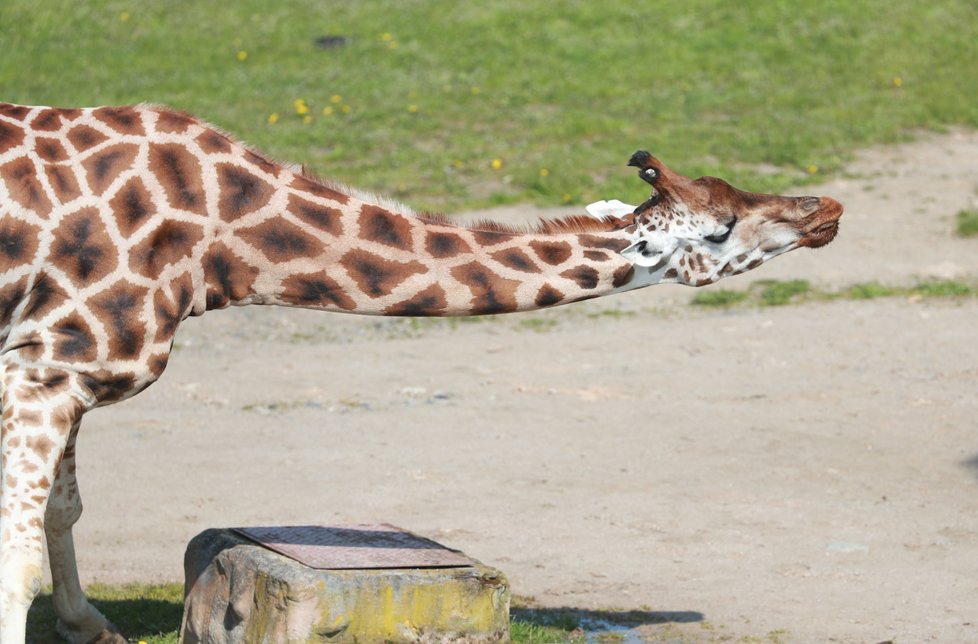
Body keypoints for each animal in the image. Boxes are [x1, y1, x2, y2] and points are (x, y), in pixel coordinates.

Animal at [0, 103, 840, 640]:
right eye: (723, 225)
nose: (827, 210)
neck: (222, 241)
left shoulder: (59, 363)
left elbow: (62, 511)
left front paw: (87, 626)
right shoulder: (46, 367)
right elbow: (18, 560)